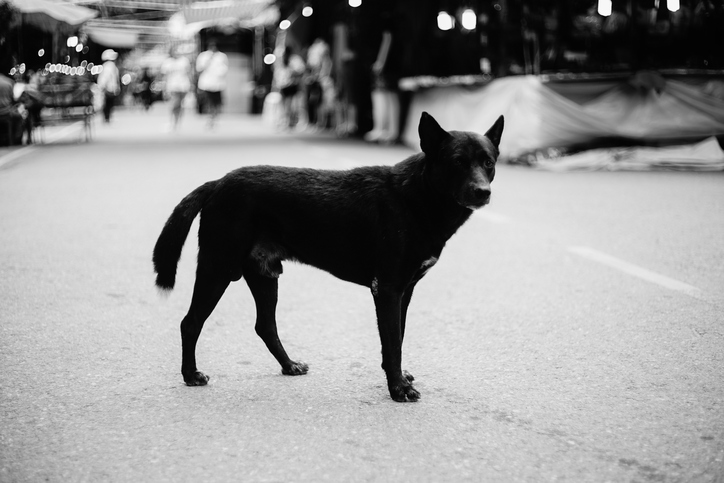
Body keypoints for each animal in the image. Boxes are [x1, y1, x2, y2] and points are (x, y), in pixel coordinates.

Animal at [153, 111, 504, 402]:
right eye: (457, 162)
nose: (483, 192)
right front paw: (398, 389)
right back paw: (190, 375)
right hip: (217, 268)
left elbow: (399, 338)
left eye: (488, 162)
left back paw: (289, 365)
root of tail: (217, 184)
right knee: (191, 322)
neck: (417, 196)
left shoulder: (405, 291)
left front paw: (399, 379)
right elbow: (392, 342)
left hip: (264, 275)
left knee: (264, 326)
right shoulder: (388, 289)